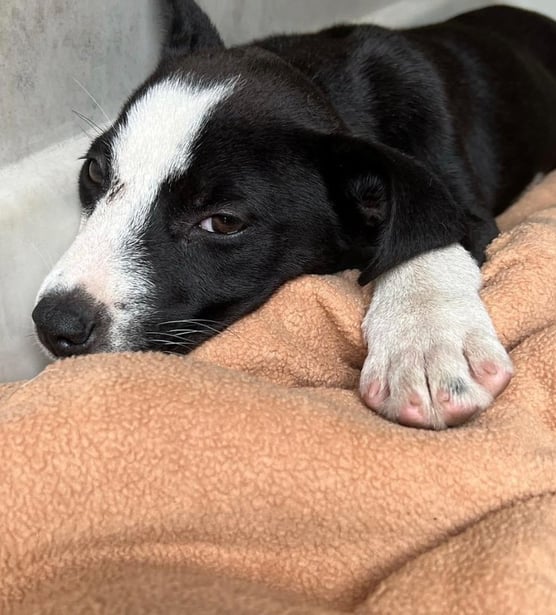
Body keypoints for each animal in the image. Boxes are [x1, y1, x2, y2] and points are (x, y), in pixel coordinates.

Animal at [31, 2, 556, 428]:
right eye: (95, 170)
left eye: (223, 222)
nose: (55, 325)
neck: (327, 83)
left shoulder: (457, 199)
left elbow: (423, 237)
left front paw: (425, 345)